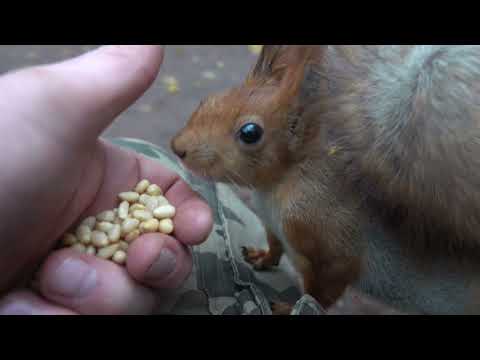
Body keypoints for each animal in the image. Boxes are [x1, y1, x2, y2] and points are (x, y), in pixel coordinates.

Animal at [172, 45, 480, 316]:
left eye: (250, 133)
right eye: (209, 100)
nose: (177, 148)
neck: (276, 187)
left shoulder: (326, 237)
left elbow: (322, 290)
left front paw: (286, 308)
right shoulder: (272, 225)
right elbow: (275, 247)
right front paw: (263, 257)